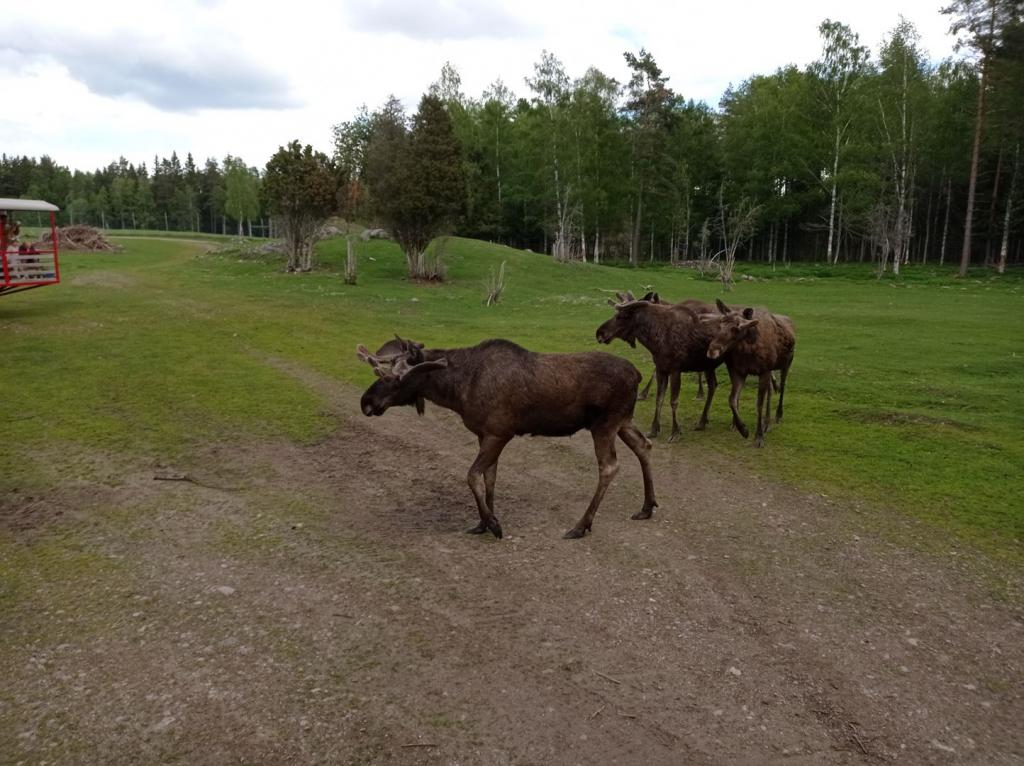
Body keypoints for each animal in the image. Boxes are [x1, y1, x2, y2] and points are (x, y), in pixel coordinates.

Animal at [356, 337, 659, 540]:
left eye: (395, 379)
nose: (366, 402)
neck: (458, 392)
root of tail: (637, 374)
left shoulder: (499, 433)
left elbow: (472, 476)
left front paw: (493, 524)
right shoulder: (485, 435)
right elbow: (489, 477)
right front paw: (483, 522)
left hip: (604, 425)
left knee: (609, 466)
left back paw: (581, 525)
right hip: (623, 421)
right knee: (644, 446)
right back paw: (647, 507)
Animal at [598, 292, 724, 440]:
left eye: (621, 316)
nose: (599, 333)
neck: (654, 340)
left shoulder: (675, 370)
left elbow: (673, 401)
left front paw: (675, 431)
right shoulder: (661, 369)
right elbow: (659, 399)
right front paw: (654, 429)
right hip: (709, 366)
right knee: (713, 385)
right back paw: (703, 421)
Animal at [708, 296, 794, 446]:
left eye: (737, 329)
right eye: (720, 323)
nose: (712, 350)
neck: (747, 351)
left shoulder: (764, 371)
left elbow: (758, 404)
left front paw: (758, 437)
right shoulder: (739, 371)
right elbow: (732, 399)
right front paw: (743, 429)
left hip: (786, 364)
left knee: (782, 387)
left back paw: (777, 416)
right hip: (771, 371)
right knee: (771, 390)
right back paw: (767, 422)